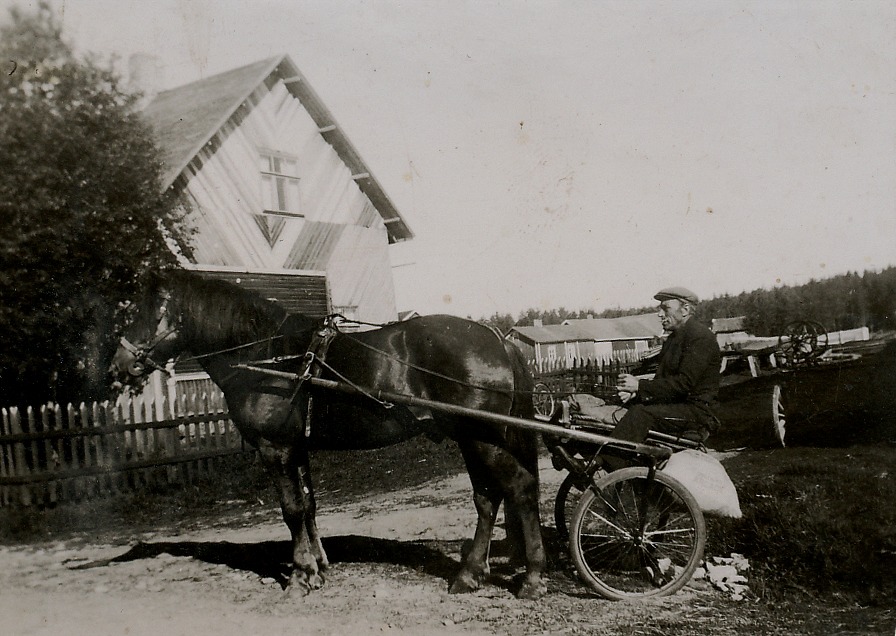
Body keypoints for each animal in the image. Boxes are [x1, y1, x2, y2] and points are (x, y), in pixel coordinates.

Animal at [109, 270, 548, 600]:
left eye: (146, 312)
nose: (119, 366)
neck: (267, 357)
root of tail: (498, 338)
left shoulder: (276, 449)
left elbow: (290, 509)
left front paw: (300, 575)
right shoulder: (297, 447)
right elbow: (308, 505)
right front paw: (318, 565)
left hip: (482, 438)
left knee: (519, 488)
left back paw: (531, 578)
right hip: (472, 438)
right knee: (487, 498)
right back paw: (470, 574)